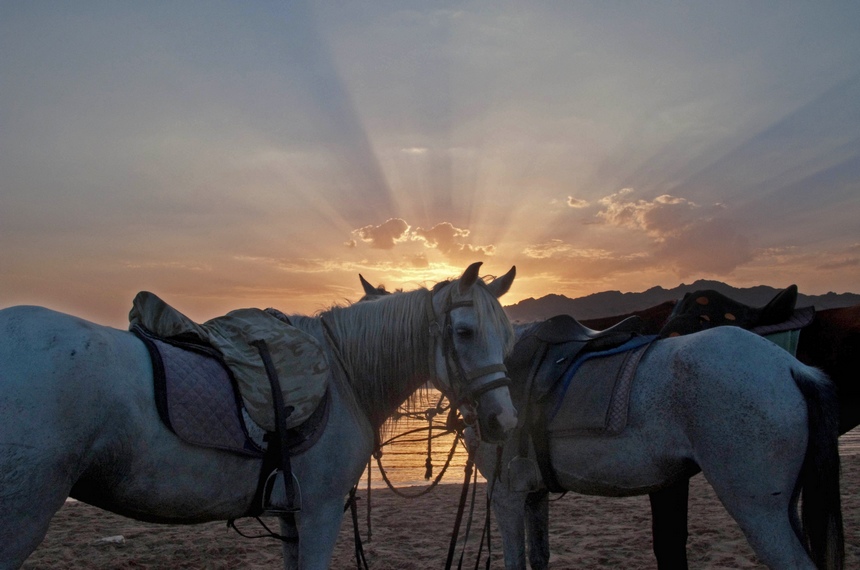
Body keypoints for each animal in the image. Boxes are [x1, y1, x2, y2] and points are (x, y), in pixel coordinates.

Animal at [0, 260, 516, 564]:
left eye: (509, 333)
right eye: (465, 332)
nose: (504, 422)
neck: (342, 374)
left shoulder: (292, 515)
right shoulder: (321, 511)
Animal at [470, 322, 840, 568]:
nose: (497, 420)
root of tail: (791, 367)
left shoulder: (505, 496)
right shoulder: (533, 494)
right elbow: (539, 555)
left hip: (760, 513)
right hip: (784, 509)